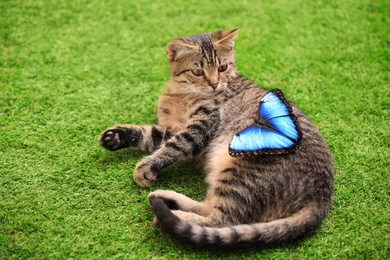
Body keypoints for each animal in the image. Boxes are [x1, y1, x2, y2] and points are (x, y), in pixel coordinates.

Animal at [99, 28, 334, 248]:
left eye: (222, 68)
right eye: (197, 71)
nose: (214, 84)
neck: (180, 94)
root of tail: (321, 197)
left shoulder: (202, 124)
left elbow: (174, 146)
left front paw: (146, 166)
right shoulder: (171, 128)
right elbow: (149, 135)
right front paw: (116, 137)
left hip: (238, 172)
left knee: (221, 220)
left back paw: (169, 214)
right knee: (210, 209)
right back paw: (166, 198)